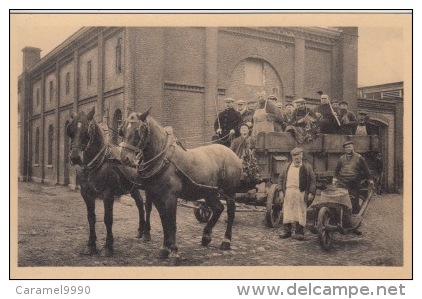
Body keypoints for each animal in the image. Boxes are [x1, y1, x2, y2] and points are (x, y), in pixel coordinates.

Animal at [65, 106, 152, 256]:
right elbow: (91, 218)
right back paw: (140, 231)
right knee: (140, 203)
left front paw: (108, 246)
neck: (98, 163)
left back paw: (147, 233)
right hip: (133, 187)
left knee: (148, 206)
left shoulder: (108, 194)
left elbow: (108, 219)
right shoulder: (86, 194)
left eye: (86, 131)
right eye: (70, 131)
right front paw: (91, 245)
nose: (75, 157)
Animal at [120, 109, 242, 266]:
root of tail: (230, 151)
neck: (163, 159)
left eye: (137, 131)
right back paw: (206, 236)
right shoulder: (157, 198)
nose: (125, 159)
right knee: (218, 208)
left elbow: (172, 224)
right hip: (209, 192)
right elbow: (164, 222)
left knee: (231, 212)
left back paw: (226, 241)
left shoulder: (171, 198)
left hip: (229, 192)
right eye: (122, 130)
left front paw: (174, 253)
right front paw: (164, 249)